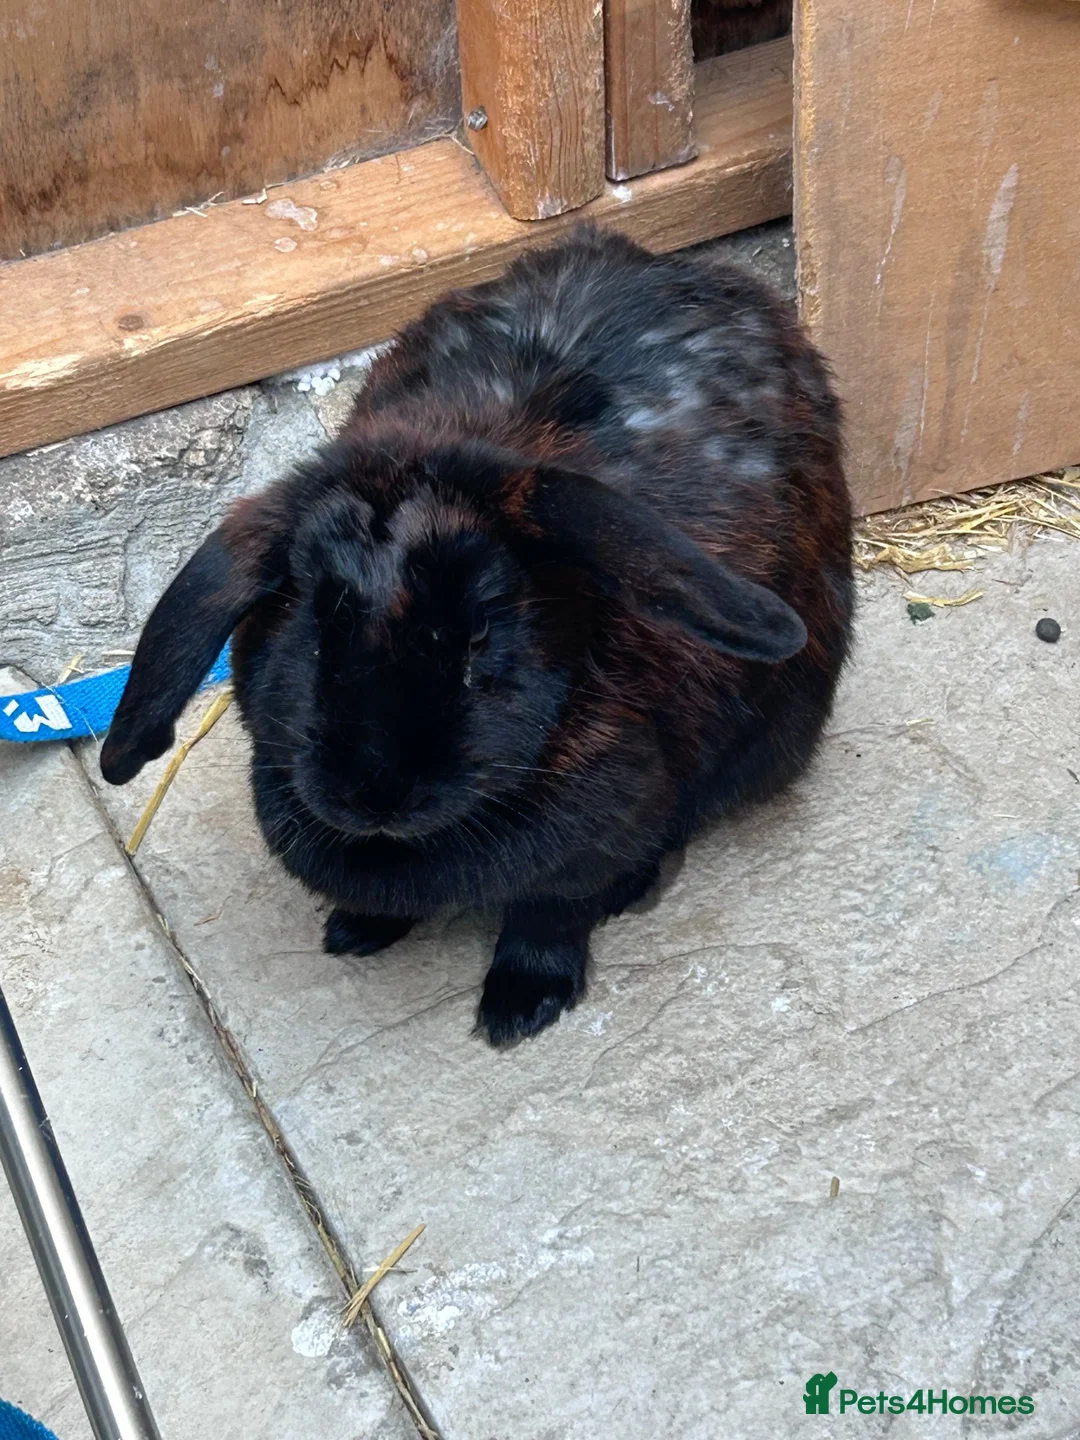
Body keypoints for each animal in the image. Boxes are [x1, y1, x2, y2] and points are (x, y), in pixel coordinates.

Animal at [101, 226, 853, 1046]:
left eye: (481, 630)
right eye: (309, 624)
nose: (378, 794)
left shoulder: (588, 851)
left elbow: (547, 919)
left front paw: (518, 1007)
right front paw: (356, 929)